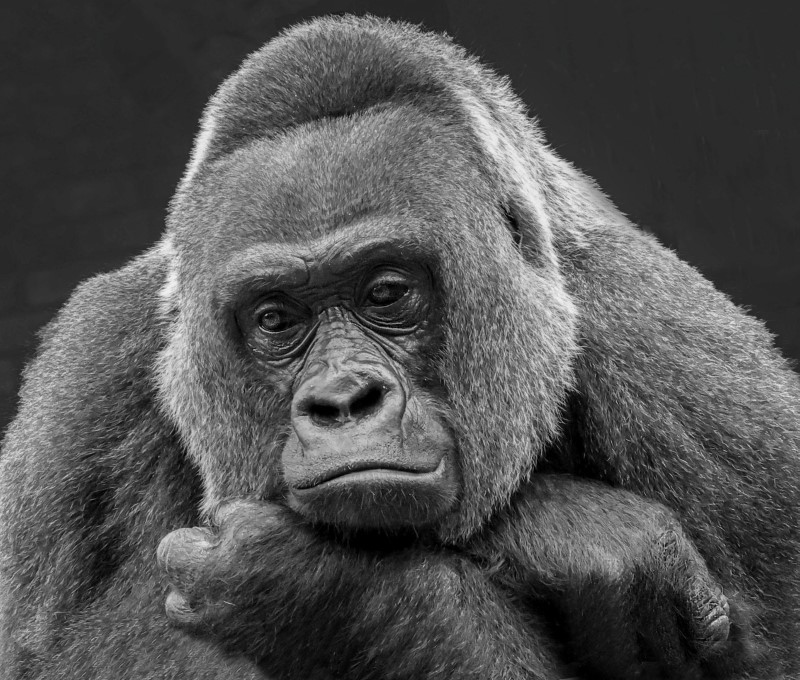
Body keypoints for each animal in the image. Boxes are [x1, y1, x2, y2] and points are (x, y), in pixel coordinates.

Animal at [2, 14, 799, 680]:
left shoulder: (679, 368)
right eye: (275, 320)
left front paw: (324, 595)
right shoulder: (88, 383)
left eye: (386, 293)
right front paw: (567, 535)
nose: (343, 401)